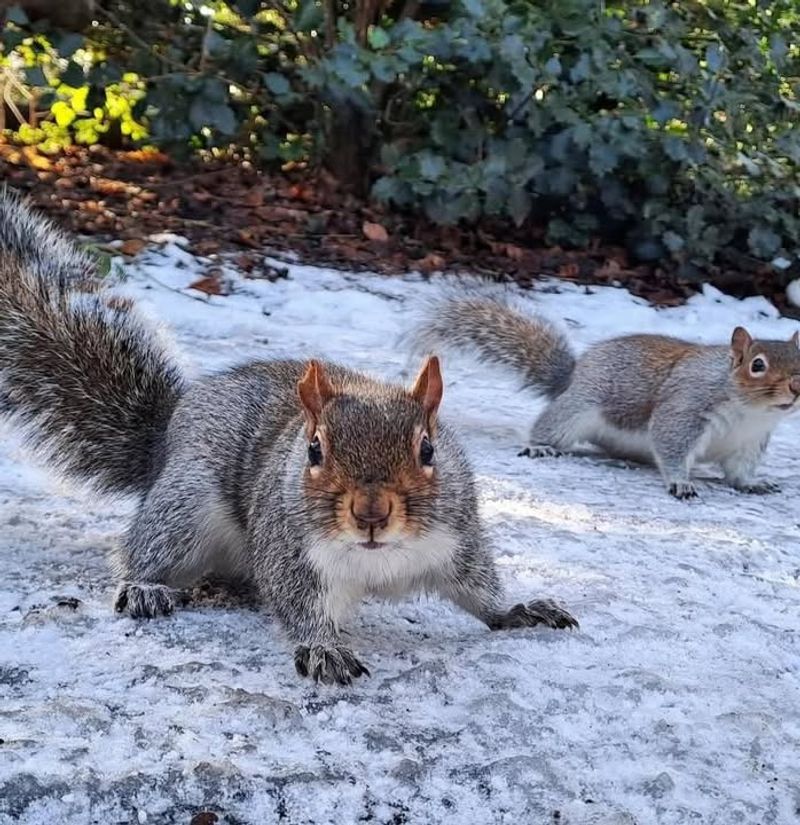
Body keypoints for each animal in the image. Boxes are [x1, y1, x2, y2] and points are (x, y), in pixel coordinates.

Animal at [0, 191, 577, 685]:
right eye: (314, 449)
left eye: (428, 449)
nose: (371, 513)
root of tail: (167, 435)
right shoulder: (290, 552)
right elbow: (301, 606)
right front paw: (323, 649)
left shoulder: (459, 540)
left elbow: (480, 590)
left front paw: (519, 610)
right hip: (183, 506)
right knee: (144, 551)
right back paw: (145, 588)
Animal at [412, 297, 800, 500]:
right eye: (757, 365)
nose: (796, 388)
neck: (752, 413)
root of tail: (572, 377)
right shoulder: (686, 405)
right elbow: (671, 442)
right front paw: (681, 481)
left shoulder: (749, 442)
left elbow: (740, 470)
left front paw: (752, 483)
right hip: (577, 411)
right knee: (550, 425)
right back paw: (540, 445)